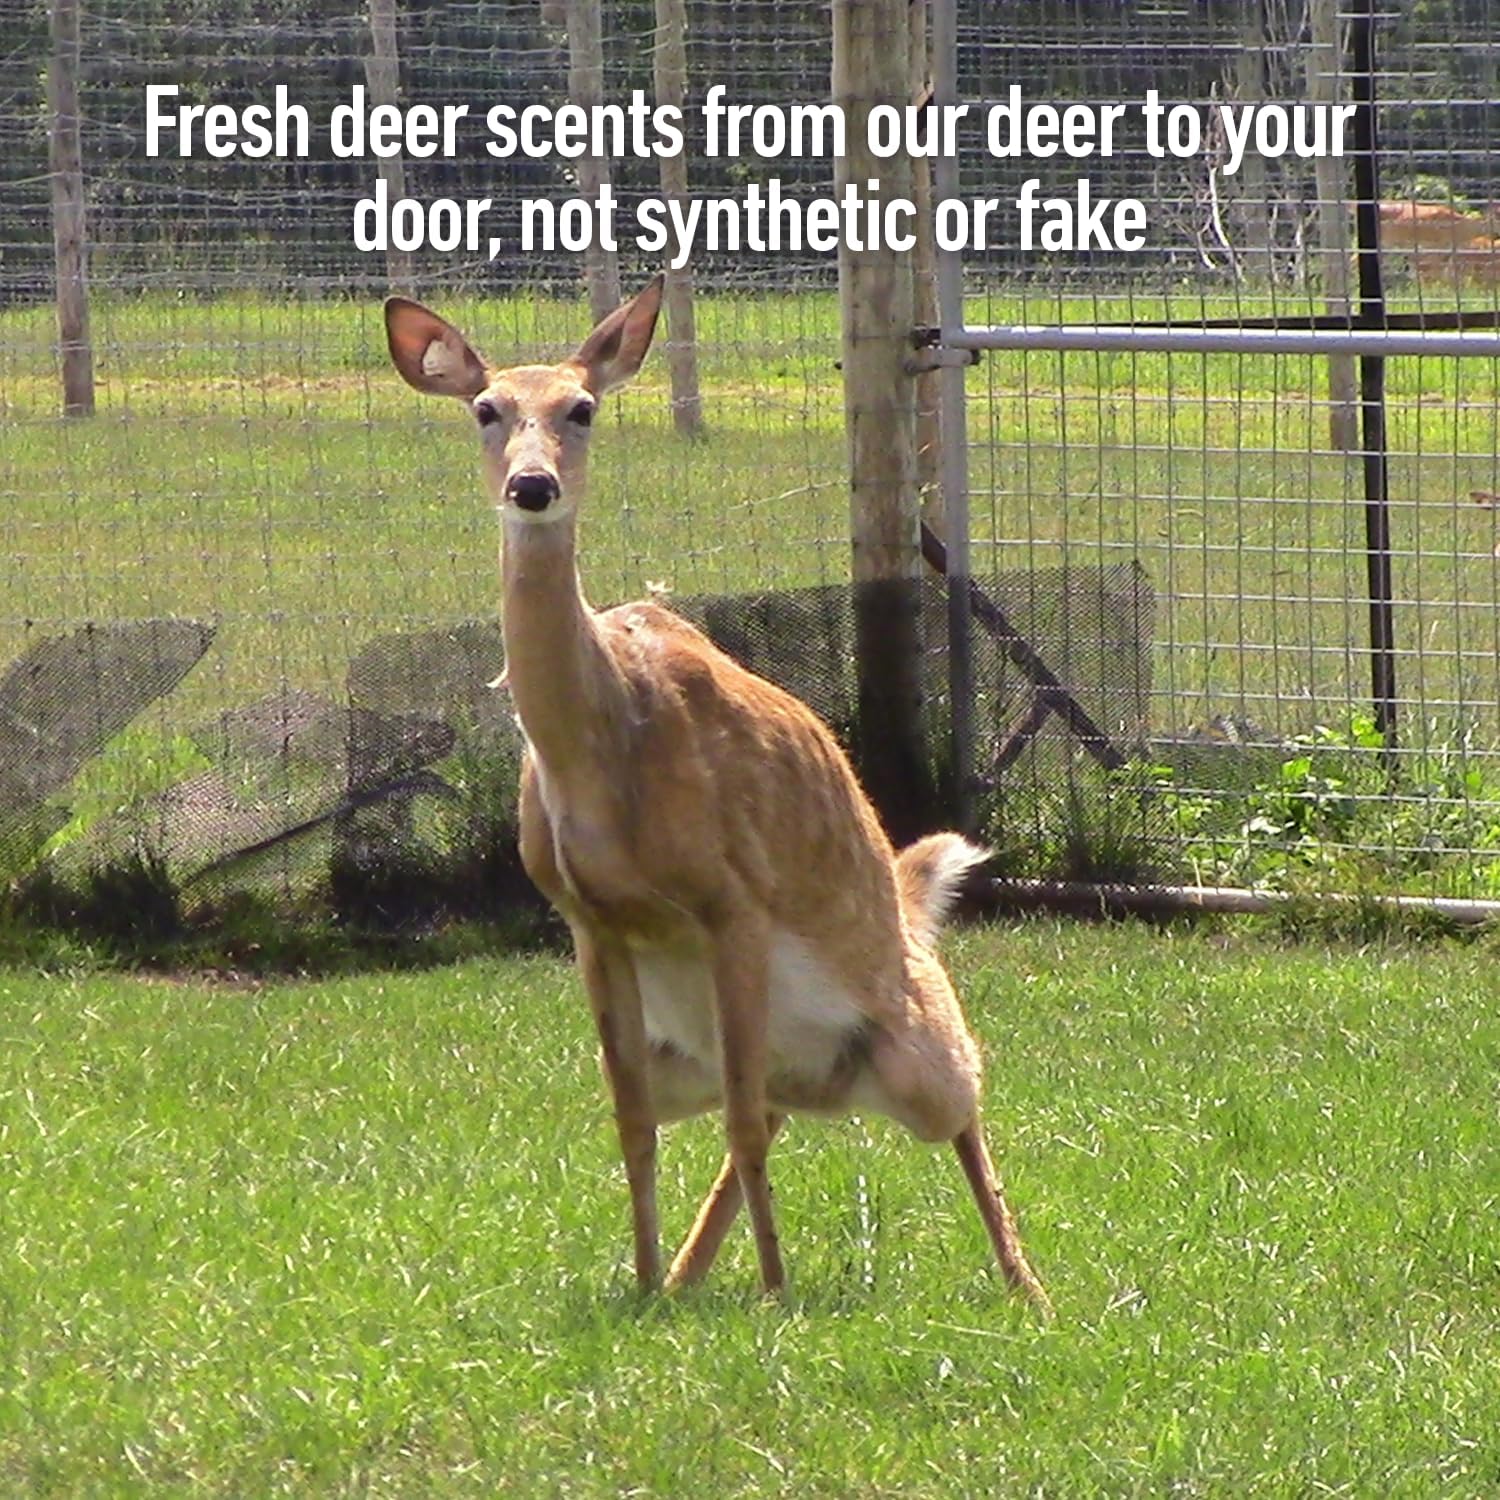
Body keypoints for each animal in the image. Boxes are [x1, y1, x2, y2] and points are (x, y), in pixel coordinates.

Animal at [383, 277, 1051, 1314]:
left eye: (582, 408)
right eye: (486, 409)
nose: (532, 487)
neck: (602, 755)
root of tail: (907, 908)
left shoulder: (733, 896)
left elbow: (737, 1118)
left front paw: (775, 1297)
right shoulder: (588, 921)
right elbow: (632, 1123)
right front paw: (644, 1285)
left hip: (910, 1042)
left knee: (957, 1099)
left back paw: (1028, 1287)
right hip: (708, 1054)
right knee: (764, 1107)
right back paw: (688, 1276)